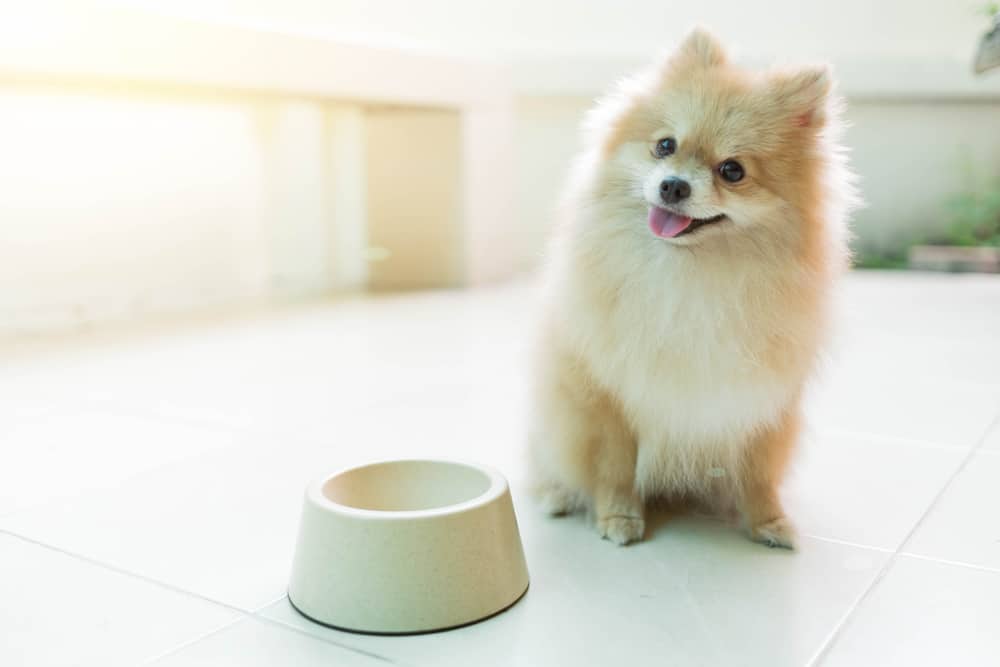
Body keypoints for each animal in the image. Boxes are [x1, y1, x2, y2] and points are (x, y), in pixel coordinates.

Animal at [528, 27, 856, 548]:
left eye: (733, 171)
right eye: (665, 145)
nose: (673, 186)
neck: (692, 276)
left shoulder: (761, 397)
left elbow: (760, 473)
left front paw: (769, 522)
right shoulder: (606, 397)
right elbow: (614, 466)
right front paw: (618, 517)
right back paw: (556, 495)